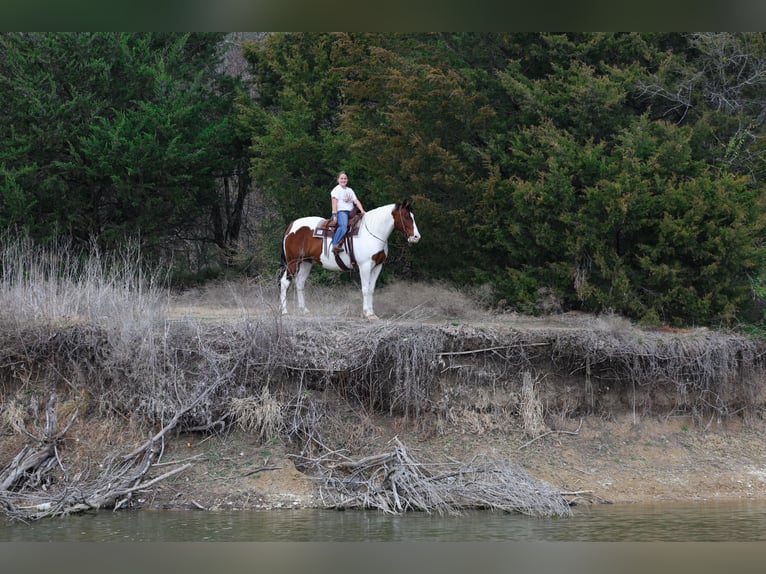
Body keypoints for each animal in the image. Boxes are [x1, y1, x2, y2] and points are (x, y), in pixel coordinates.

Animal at [279, 199, 421, 319]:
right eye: (407, 216)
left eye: (414, 217)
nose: (416, 237)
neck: (373, 231)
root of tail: (291, 226)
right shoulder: (365, 266)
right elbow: (365, 289)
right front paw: (367, 313)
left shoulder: (377, 266)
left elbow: (371, 289)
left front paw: (372, 313)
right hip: (293, 262)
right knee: (285, 282)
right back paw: (284, 311)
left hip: (306, 262)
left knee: (300, 283)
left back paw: (304, 310)